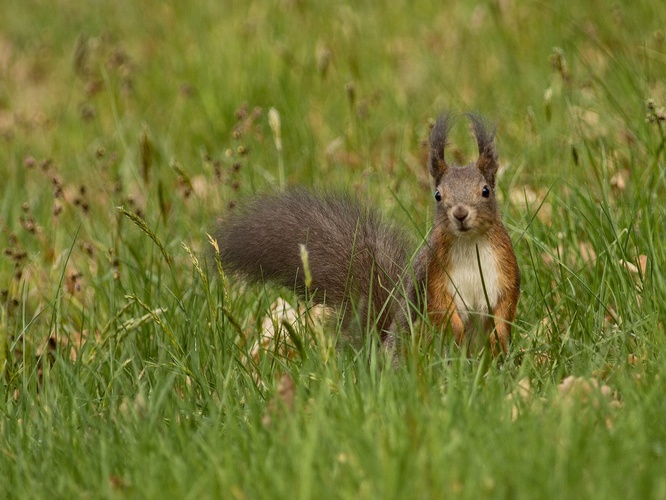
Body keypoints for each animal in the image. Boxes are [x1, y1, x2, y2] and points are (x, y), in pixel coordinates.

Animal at [213, 113, 520, 356]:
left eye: (485, 191)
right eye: (437, 195)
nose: (460, 213)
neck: (469, 243)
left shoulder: (504, 268)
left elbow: (506, 305)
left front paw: (498, 337)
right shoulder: (433, 275)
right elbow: (440, 308)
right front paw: (456, 333)